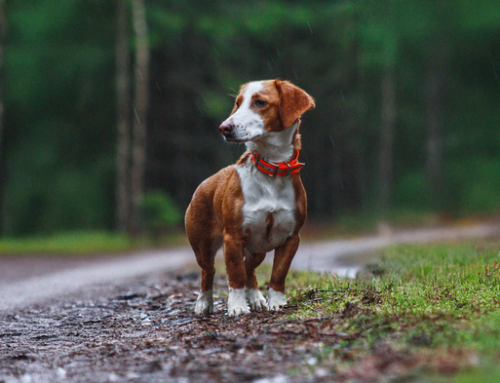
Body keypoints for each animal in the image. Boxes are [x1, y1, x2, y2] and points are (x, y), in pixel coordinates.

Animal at [186, 79, 314, 316]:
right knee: (209, 271)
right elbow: (235, 274)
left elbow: (278, 273)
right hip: (202, 245)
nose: (224, 127)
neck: (271, 167)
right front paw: (236, 306)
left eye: (260, 102)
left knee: (250, 269)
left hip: (258, 249)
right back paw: (204, 303)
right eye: (237, 103)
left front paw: (277, 302)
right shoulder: (233, 237)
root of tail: (204, 183)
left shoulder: (291, 237)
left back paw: (256, 299)